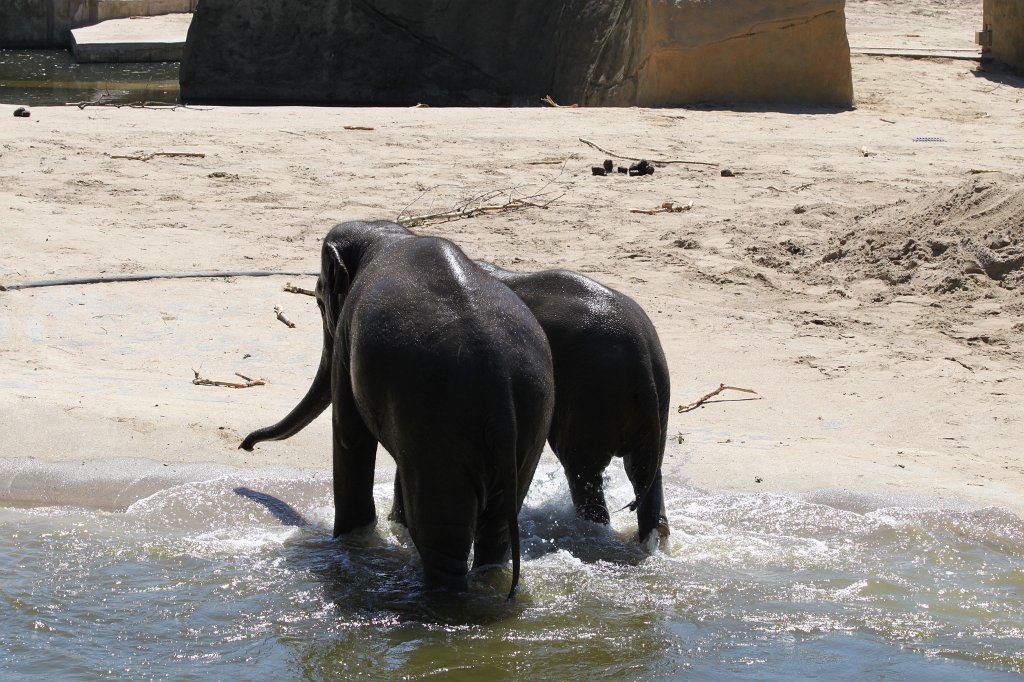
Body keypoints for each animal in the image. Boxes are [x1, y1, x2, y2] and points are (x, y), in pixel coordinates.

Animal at [239, 220, 554, 597]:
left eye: (317, 300)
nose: (245, 446)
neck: (386, 233)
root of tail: (499, 385)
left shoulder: (347, 336)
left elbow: (349, 435)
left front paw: (348, 542)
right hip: (531, 415)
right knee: (498, 529)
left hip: (444, 425)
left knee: (441, 537)